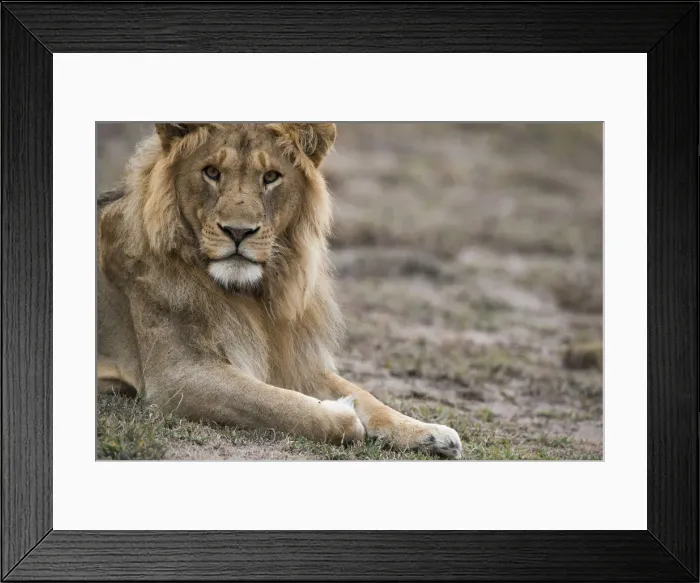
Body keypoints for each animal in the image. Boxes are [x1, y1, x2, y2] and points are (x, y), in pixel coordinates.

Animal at [97, 123, 462, 458]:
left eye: (271, 177)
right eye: (211, 172)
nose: (238, 232)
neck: (255, 293)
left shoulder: (293, 358)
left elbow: (367, 396)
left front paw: (430, 433)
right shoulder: (178, 377)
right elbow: (281, 405)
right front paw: (342, 413)